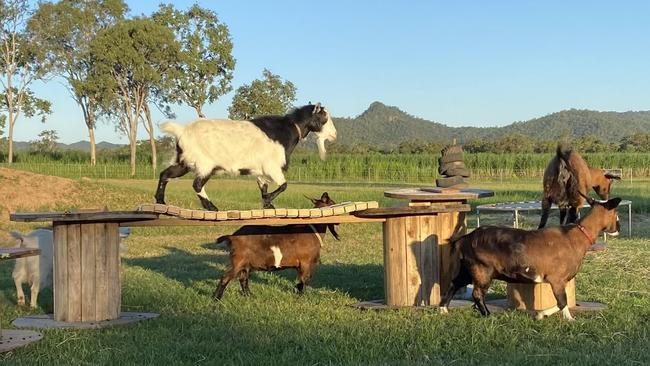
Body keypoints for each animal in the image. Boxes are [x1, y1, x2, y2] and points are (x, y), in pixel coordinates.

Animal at [154, 103, 336, 212]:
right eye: (324, 116)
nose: (334, 134)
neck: (288, 129)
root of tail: (182, 131)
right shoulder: (272, 167)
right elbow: (284, 185)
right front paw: (268, 202)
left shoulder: (261, 172)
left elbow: (264, 188)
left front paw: (268, 204)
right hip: (205, 164)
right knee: (197, 184)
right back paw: (211, 207)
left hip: (183, 162)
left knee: (165, 174)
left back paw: (160, 201)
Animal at [438, 194, 620, 320]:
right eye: (615, 214)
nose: (618, 228)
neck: (576, 236)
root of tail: (465, 238)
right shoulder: (556, 279)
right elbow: (562, 301)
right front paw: (569, 319)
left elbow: (559, 302)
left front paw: (541, 315)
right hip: (482, 270)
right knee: (477, 294)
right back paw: (488, 315)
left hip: (468, 269)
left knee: (455, 284)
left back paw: (443, 309)